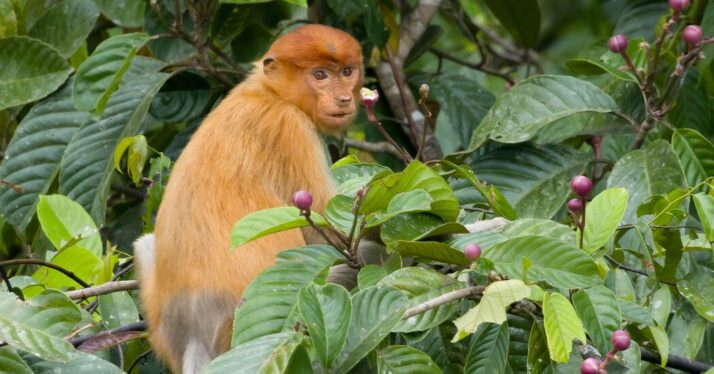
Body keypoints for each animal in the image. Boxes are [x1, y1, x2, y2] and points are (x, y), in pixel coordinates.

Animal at [134, 24, 362, 372]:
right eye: (320, 75)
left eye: (347, 72)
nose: (344, 98)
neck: (268, 92)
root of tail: (194, 337)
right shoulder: (290, 127)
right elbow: (327, 227)